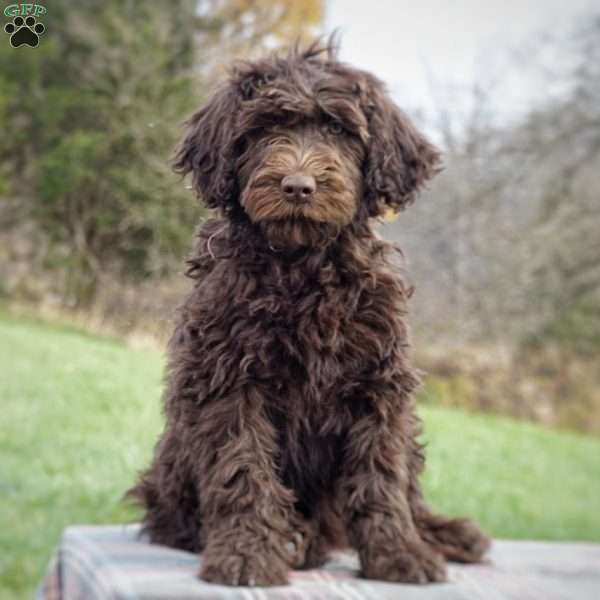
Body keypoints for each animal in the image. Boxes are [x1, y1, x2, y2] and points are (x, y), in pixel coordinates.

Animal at [126, 41, 488, 584]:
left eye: (338, 130)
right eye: (265, 128)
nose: (298, 186)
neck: (302, 268)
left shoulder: (379, 383)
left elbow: (382, 476)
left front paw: (399, 553)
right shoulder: (228, 377)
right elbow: (243, 468)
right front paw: (248, 555)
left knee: (409, 485)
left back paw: (442, 535)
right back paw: (295, 540)